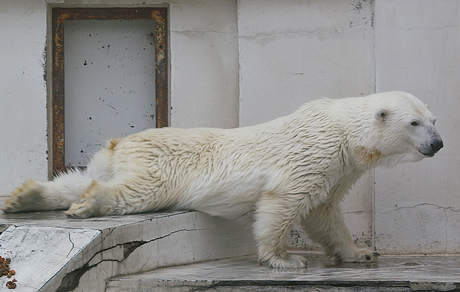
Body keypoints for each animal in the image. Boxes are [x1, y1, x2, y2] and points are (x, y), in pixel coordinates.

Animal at [2, 92, 442, 268]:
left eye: (433, 119)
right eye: (414, 123)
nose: (438, 143)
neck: (344, 133)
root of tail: (120, 143)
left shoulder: (337, 168)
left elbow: (323, 212)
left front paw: (360, 253)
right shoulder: (312, 157)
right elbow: (283, 202)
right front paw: (284, 259)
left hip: (105, 160)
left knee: (77, 179)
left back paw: (22, 197)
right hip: (163, 164)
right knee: (137, 190)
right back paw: (89, 203)